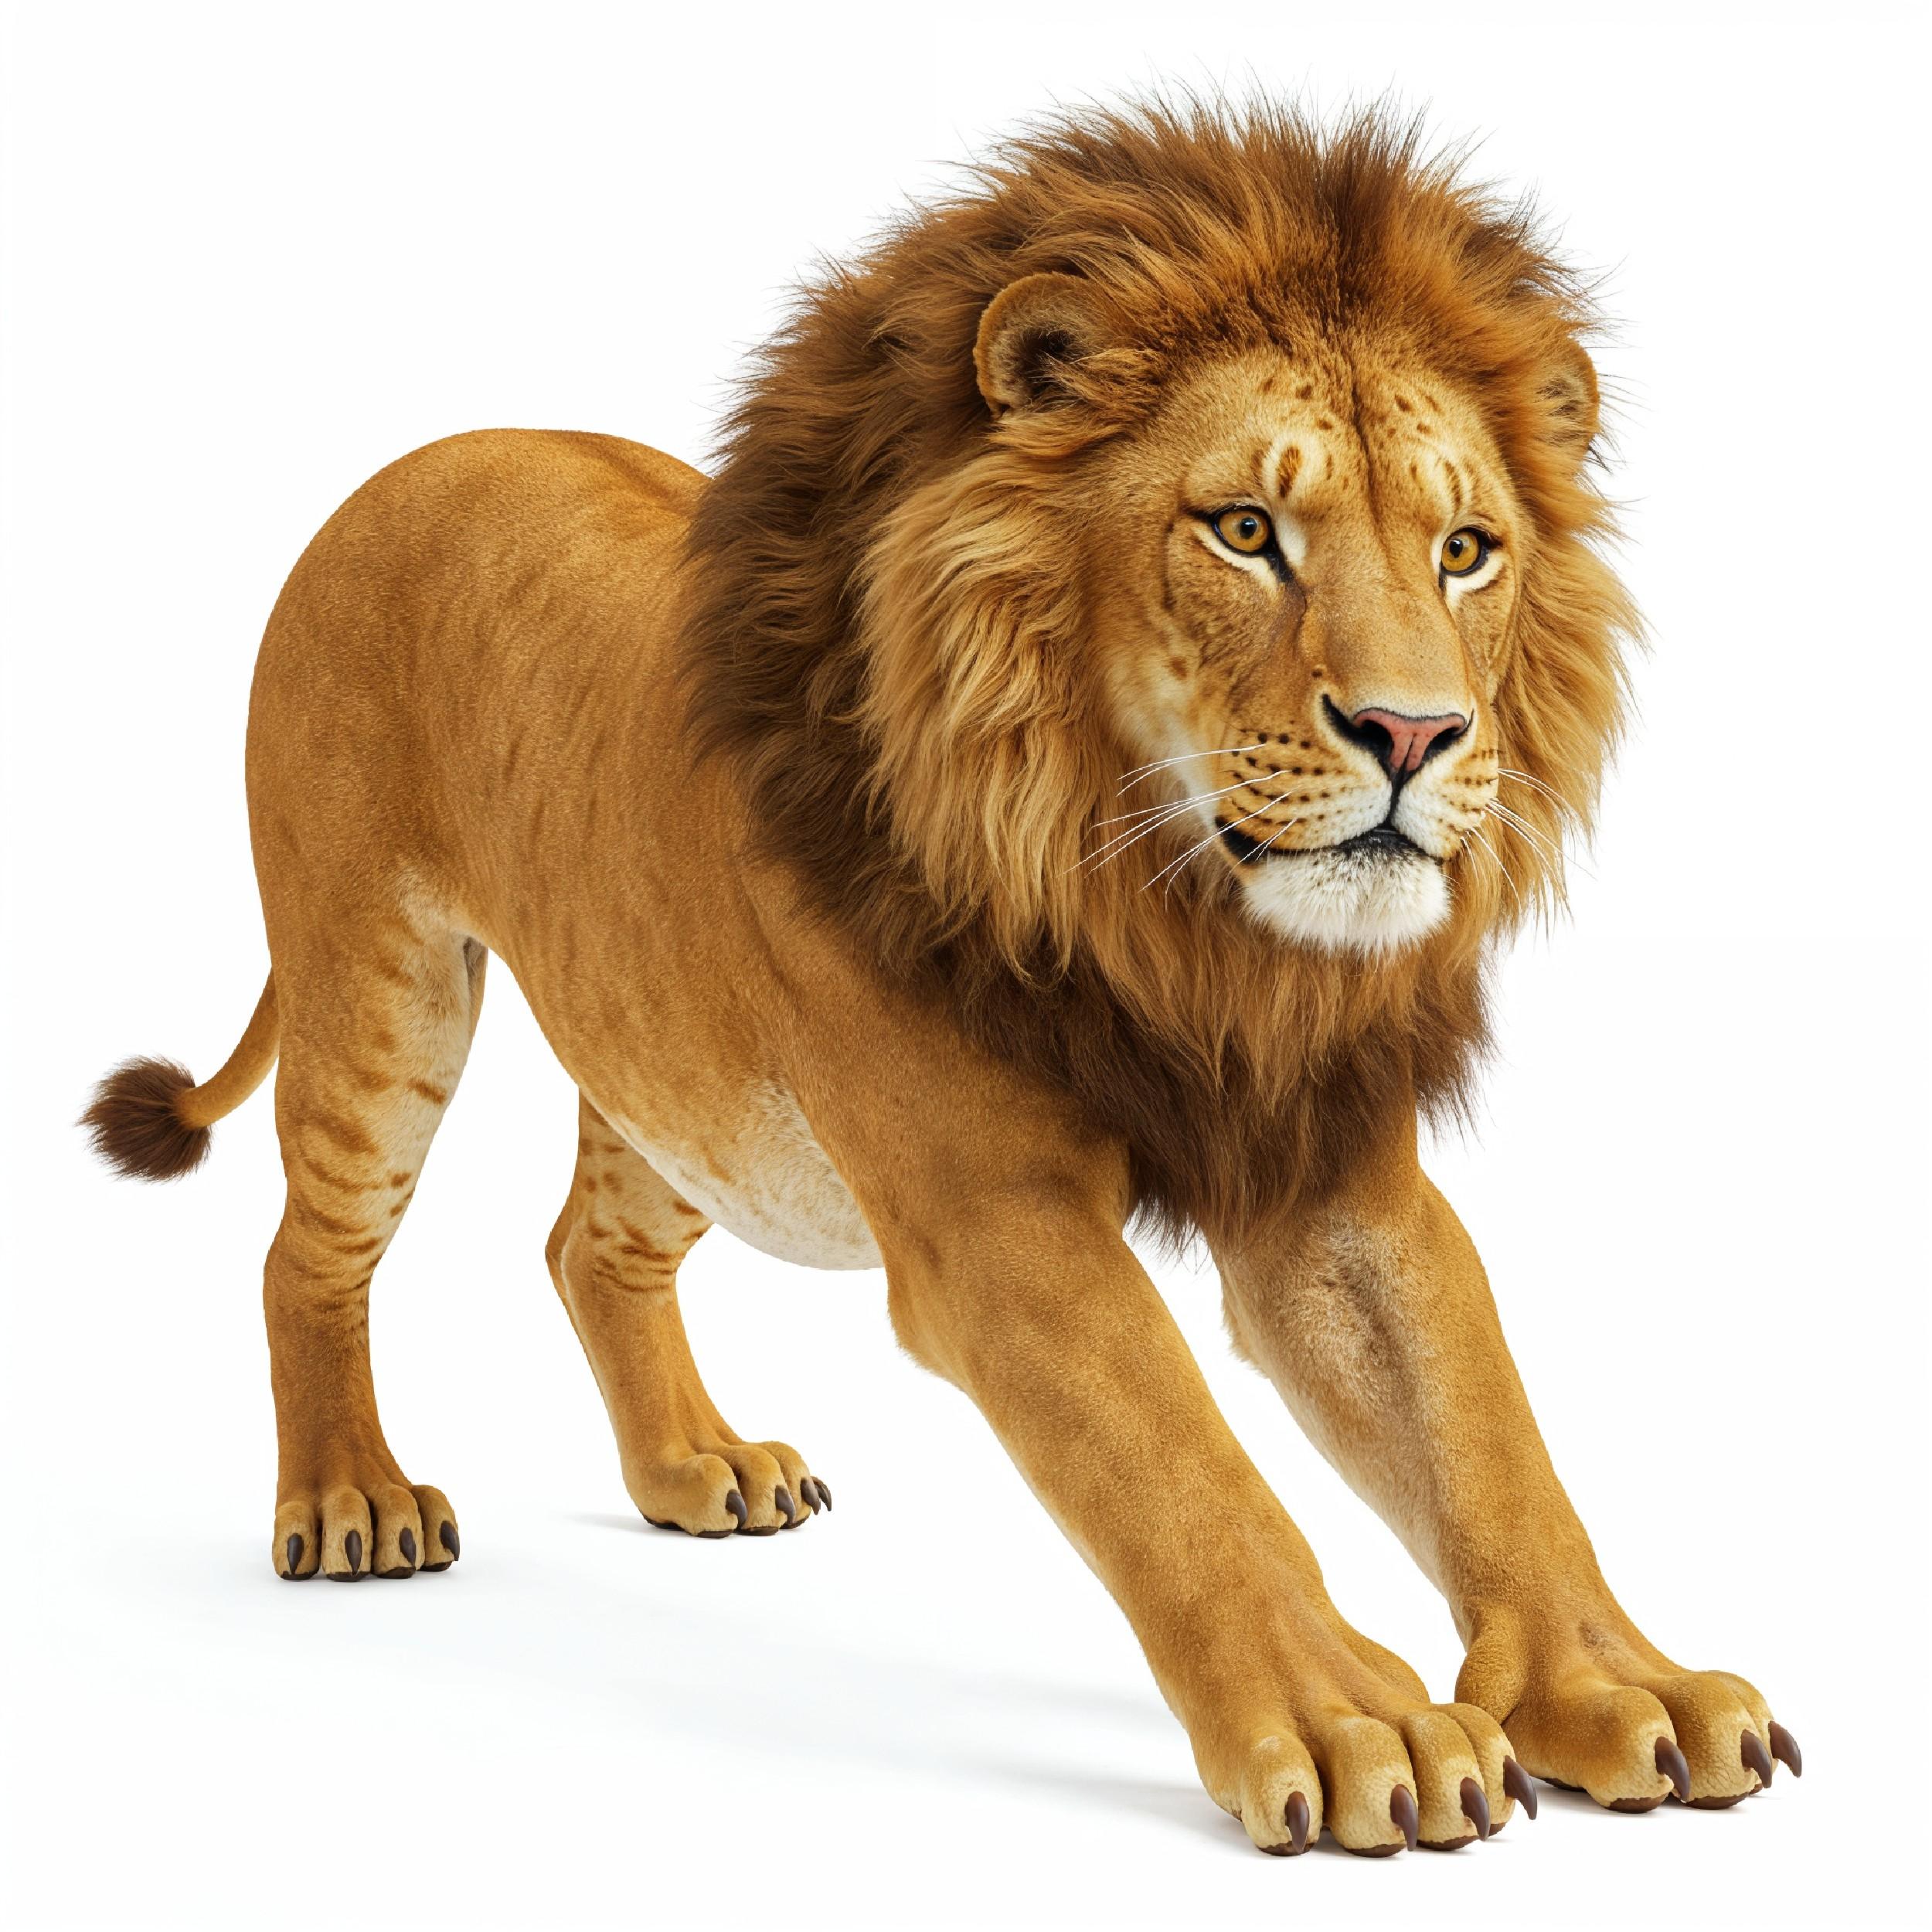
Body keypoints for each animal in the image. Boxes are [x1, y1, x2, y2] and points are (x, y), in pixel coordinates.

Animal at [84, 102, 1800, 1855]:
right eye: (1246, 530)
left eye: (1465, 552)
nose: (1414, 732)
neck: (1178, 927)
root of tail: (418, 455)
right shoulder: (997, 1213)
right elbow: (1179, 1464)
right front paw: (1354, 1723)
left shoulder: (1334, 1174)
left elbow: (1488, 1438)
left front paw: (1624, 1687)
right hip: (383, 990)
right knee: (305, 1249)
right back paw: (348, 1495)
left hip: (693, 1090)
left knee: (587, 1244)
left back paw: (697, 1467)